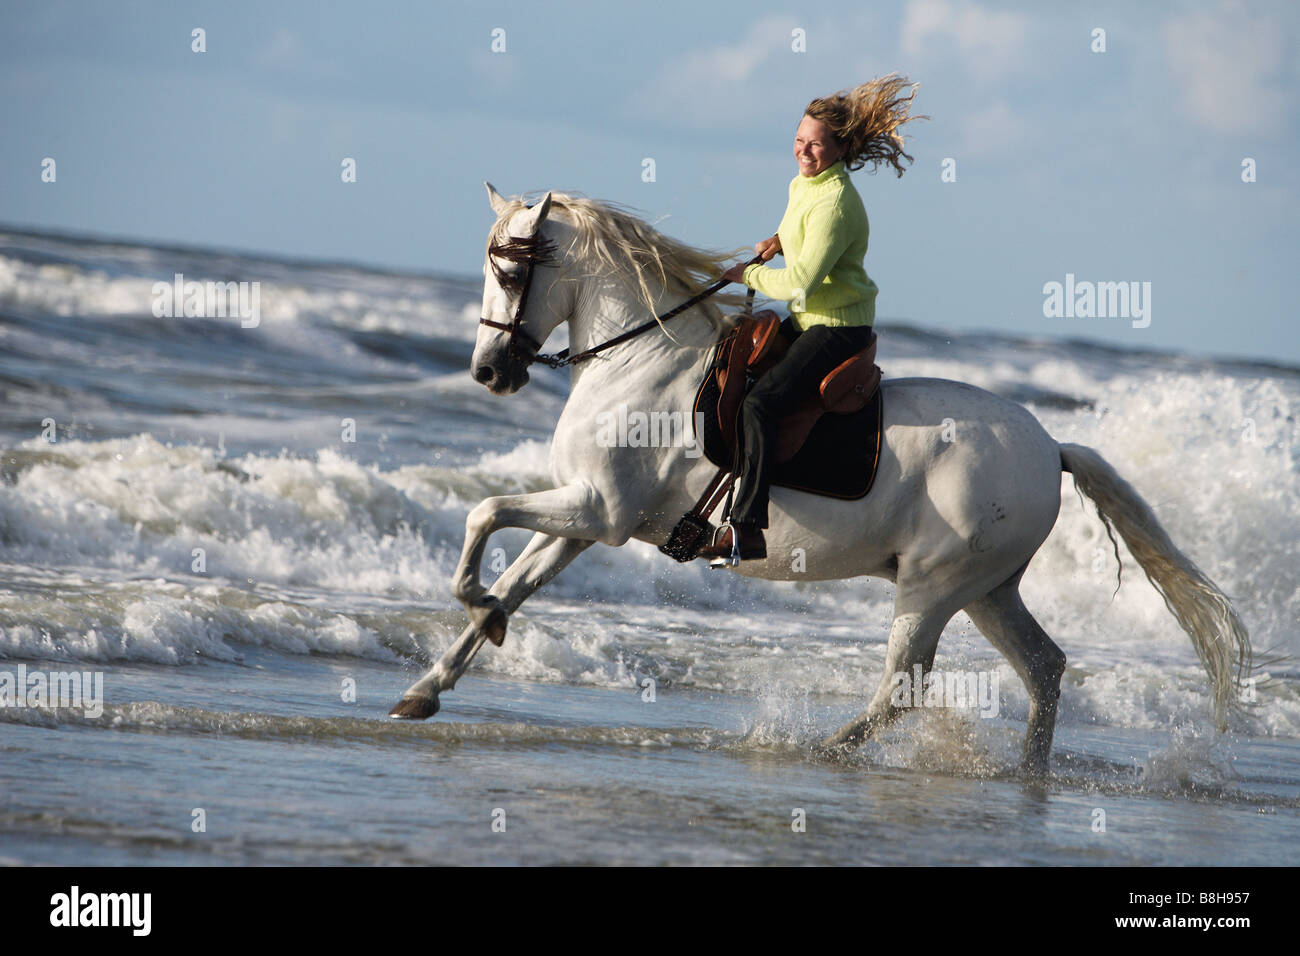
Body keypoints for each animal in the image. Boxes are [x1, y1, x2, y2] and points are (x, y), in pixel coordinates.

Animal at [392, 187, 1248, 780]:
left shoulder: (596, 511)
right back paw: (1025, 775)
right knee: (1044, 668)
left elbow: (481, 514)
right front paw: (435, 681)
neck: (639, 362)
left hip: (935, 586)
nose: (489, 372)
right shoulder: (582, 521)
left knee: (903, 687)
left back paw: (824, 751)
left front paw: (478, 612)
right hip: (989, 589)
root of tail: (1051, 448)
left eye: (509, 270)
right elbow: (516, 577)